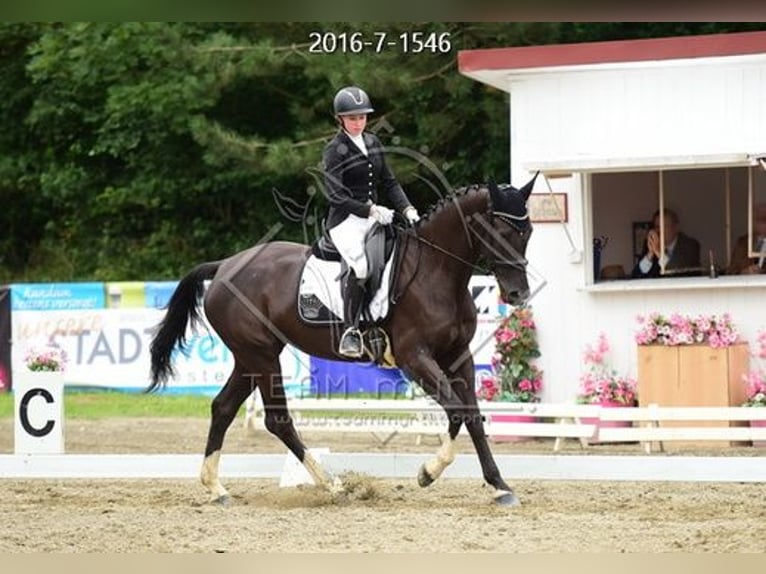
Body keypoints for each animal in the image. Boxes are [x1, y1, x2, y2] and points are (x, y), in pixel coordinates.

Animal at [148, 173, 538, 506]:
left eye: (528, 231)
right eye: (500, 229)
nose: (518, 294)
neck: (436, 271)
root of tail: (225, 266)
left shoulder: (458, 355)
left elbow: (473, 417)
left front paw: (500, 487)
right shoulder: (415, 357)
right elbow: (456, 411)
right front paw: (427, 473)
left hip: (250, 356)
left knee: (223, 408)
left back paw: (217, 489)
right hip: (260, 355)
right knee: (277, 419)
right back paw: (333, 485)